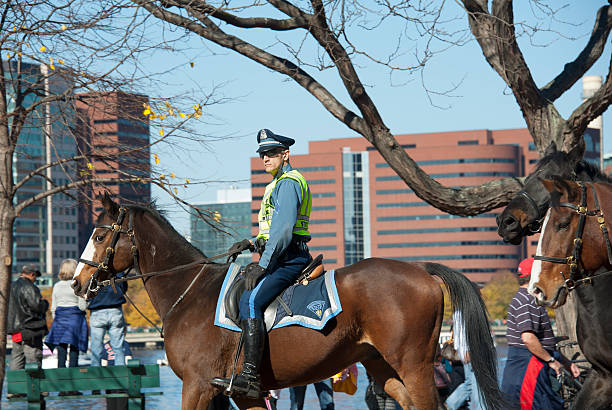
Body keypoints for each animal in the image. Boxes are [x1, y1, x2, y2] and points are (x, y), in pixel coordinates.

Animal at [70, 195, 502, 410]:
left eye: (99, 235)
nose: (76, 282)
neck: (189, 292)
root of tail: (419, 268)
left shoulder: (197, 387)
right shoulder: (243, 395)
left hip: (414, 366)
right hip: (384, 368)